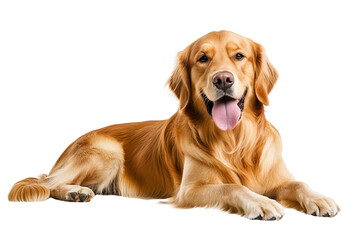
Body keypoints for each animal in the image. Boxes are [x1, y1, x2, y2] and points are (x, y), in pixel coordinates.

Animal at [9, 31, 340, 220]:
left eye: (239, 56)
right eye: (203, 58)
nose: (223, 79)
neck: (235, 142)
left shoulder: (276, 177)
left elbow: (298, 183)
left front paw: (319, 198)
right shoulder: (190, 190)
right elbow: (233, 186)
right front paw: (261, 203)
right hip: (107, 151)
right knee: (48, 183)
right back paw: (74, 191)